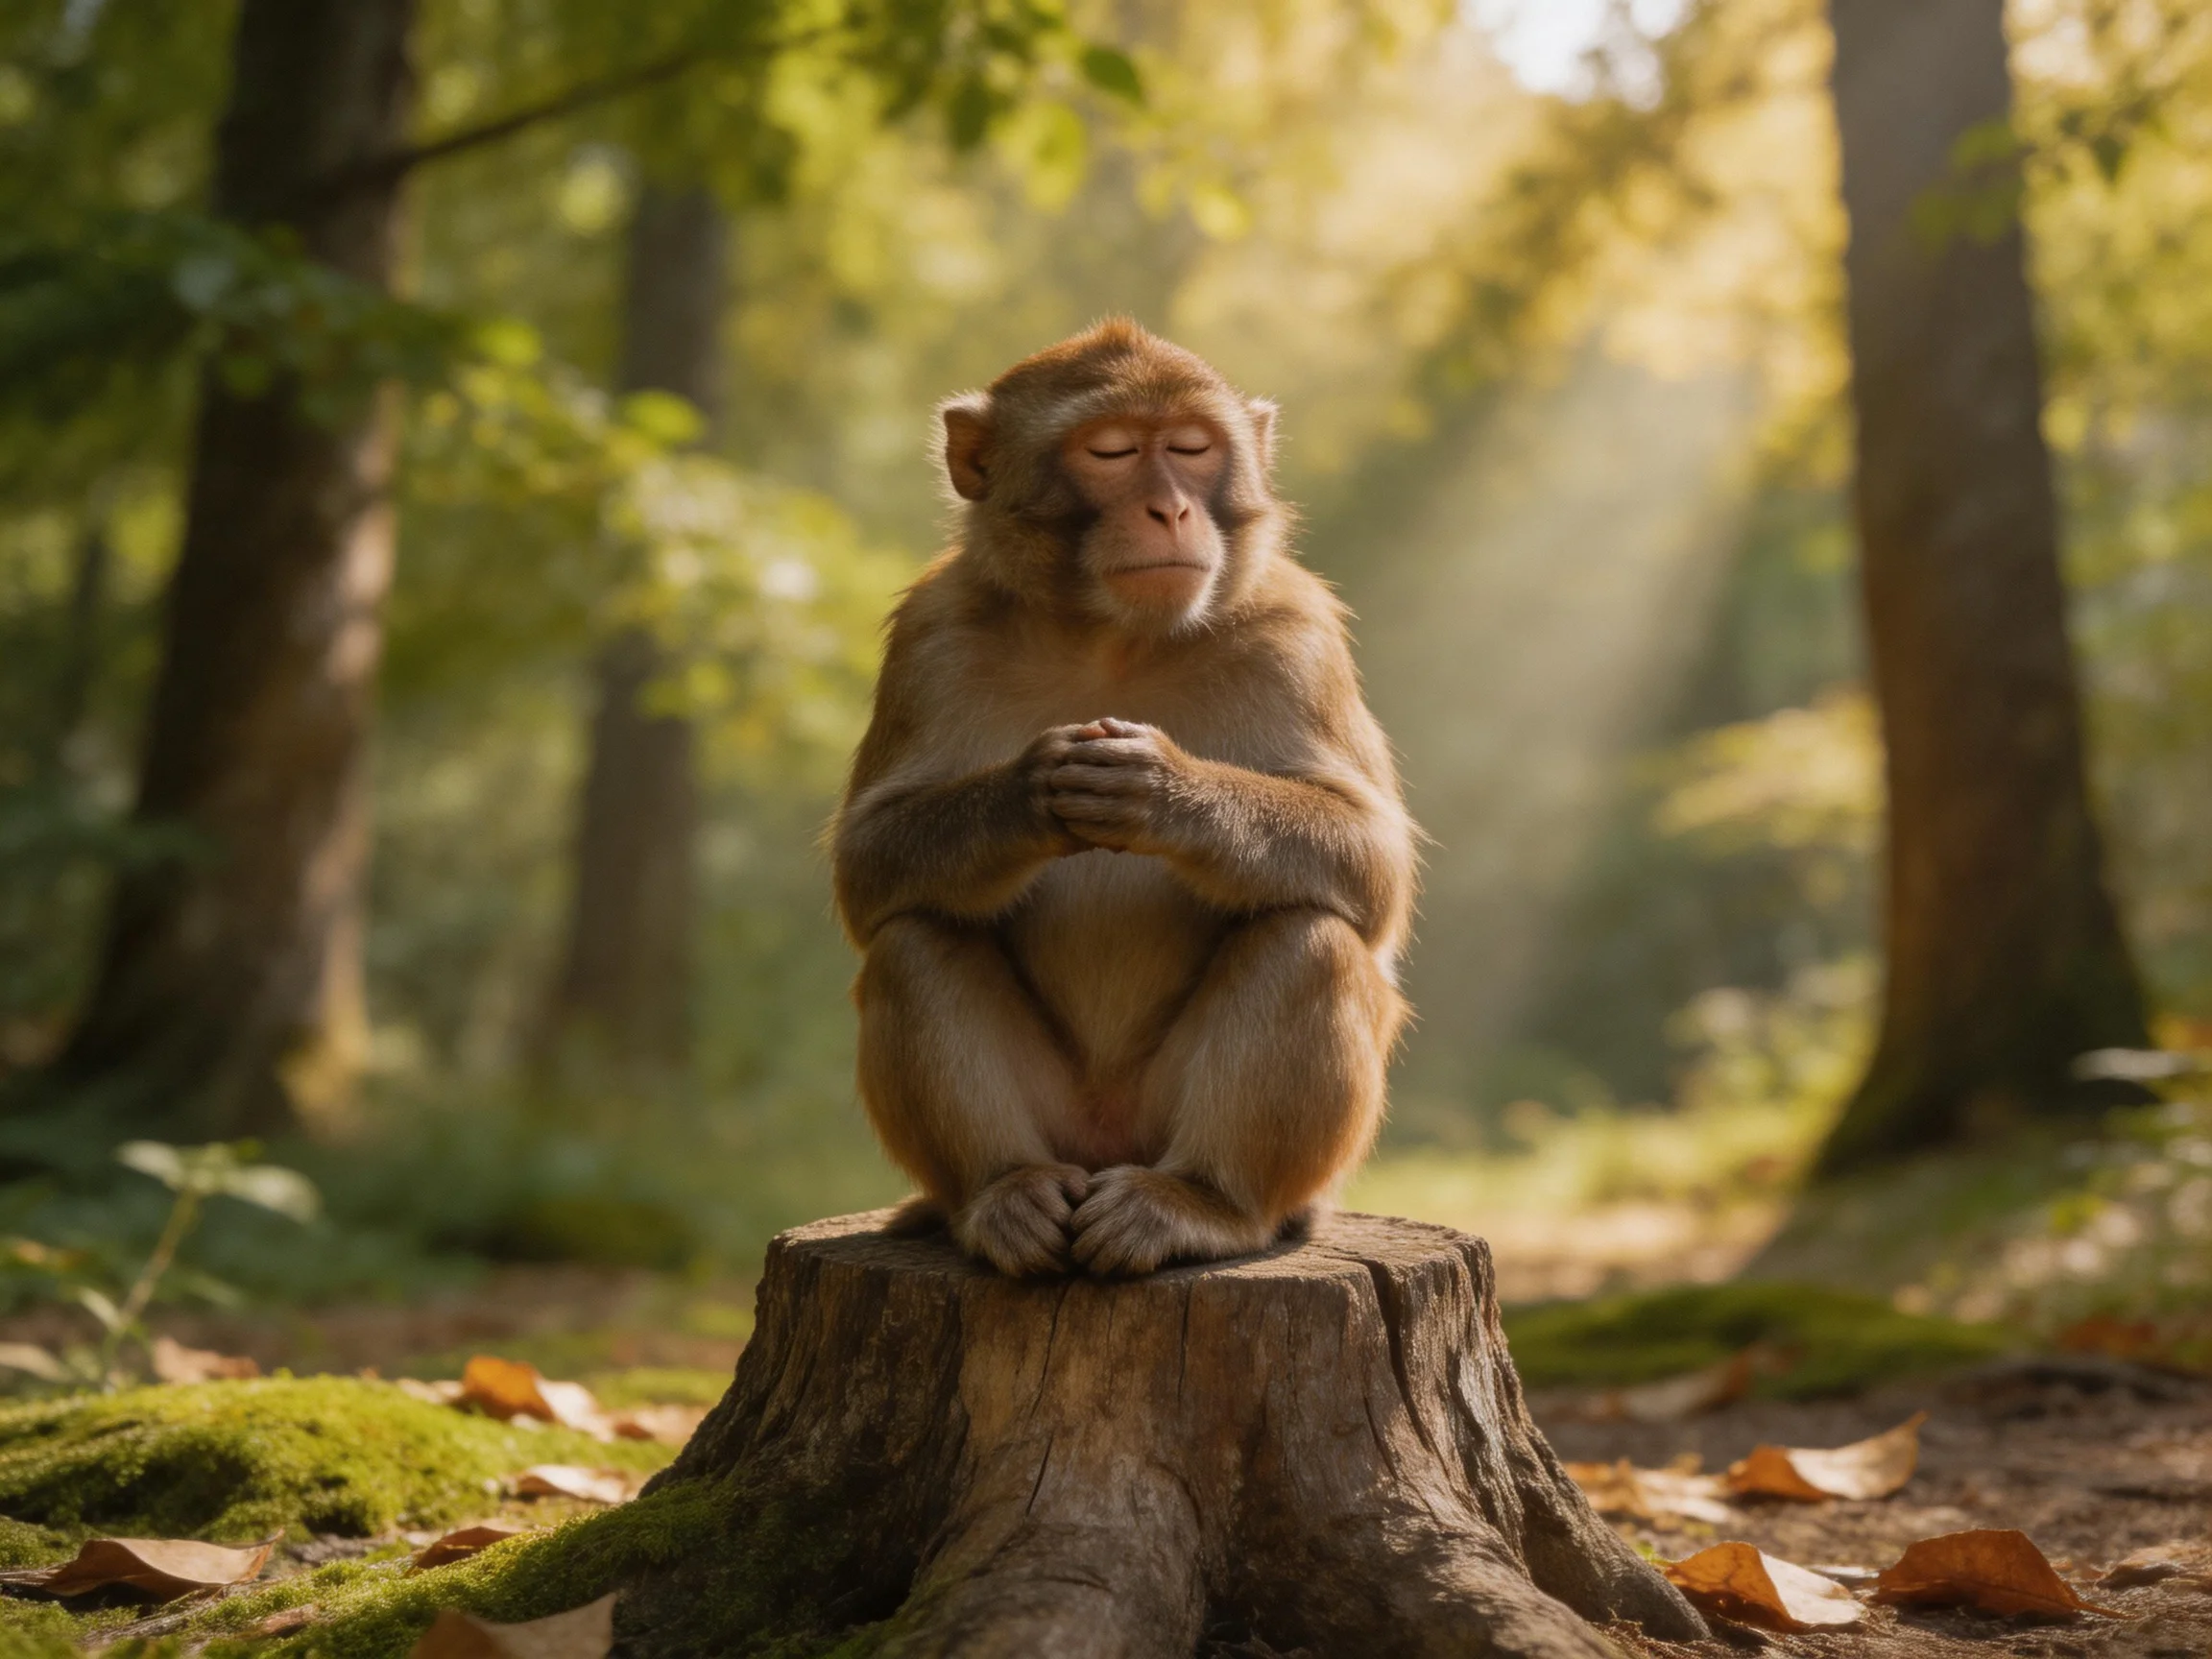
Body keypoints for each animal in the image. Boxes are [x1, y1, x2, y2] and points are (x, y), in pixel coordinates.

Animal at [830, 319, 1417, 1278]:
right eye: (1110, 451)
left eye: (1190, 448)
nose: (1170, 509)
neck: (1111, 637)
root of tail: (1107, 1147)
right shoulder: (930, 632)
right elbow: (869, 864)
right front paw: (1028, 797)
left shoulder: (1296, 632)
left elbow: (1372, 863)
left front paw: (1164, 791)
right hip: (1066, 1126)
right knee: (914, 935)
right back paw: (1003, 1194)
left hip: (1169, 1131)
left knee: (1310, 931)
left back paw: (1206, 1205)